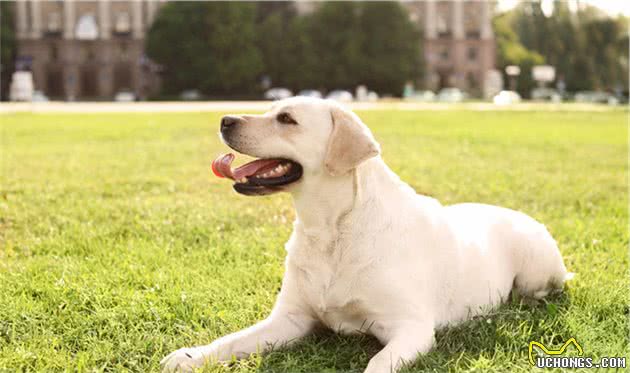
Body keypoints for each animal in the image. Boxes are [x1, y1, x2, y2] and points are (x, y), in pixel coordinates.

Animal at [162, 97, 572, 370]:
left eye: (287, 119)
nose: (225, 119)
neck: (331, 229)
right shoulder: (290, 319)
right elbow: (232, 339)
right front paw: (192, 355)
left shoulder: (410, 328)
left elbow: (376, 364)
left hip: (537, 269)